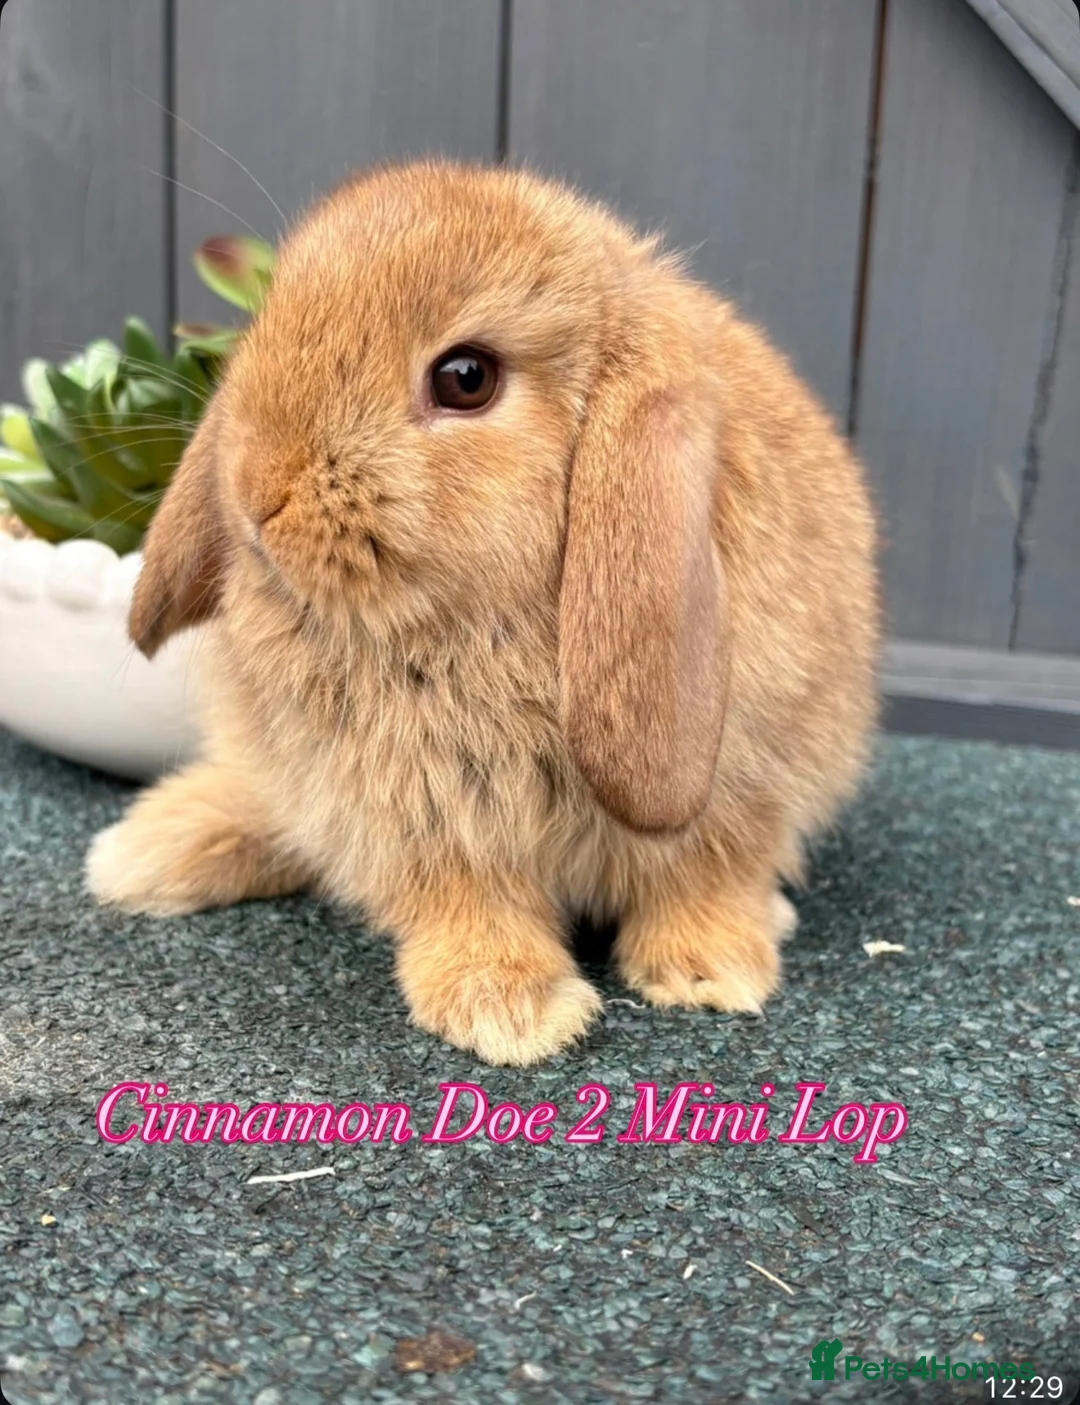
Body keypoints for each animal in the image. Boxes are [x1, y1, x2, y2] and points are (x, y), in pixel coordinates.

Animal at [86, 160, 880, 1066]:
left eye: (466, 378)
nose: (255, 490)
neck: (469, 630)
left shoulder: (739, 795)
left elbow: (701, 875)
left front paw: (710, 972)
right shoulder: (431, 827)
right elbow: (470, 901)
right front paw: (511, 1009)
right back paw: (146, 852)